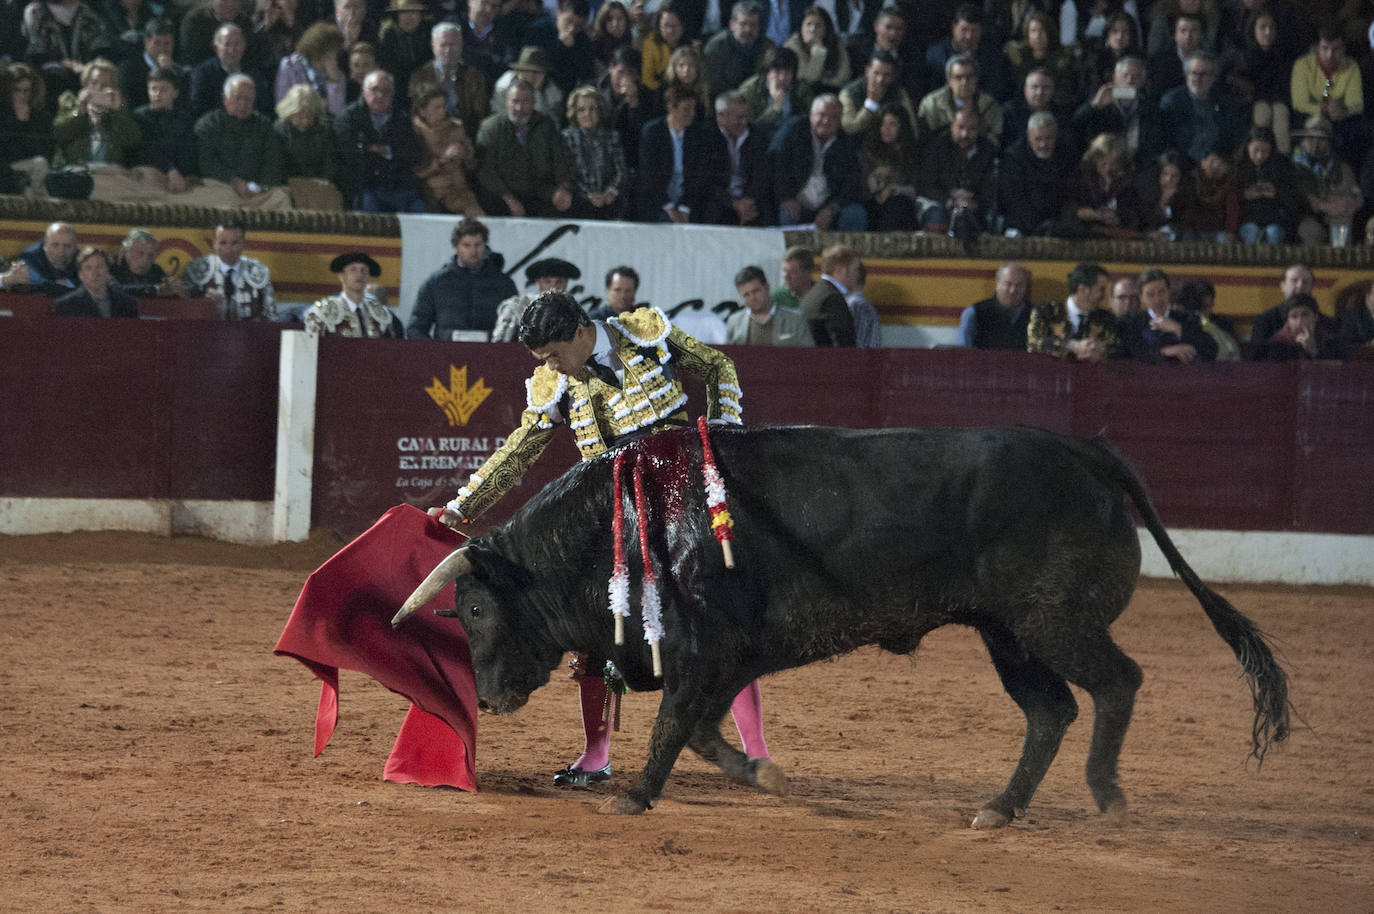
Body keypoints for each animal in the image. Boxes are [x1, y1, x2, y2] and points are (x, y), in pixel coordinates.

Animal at [395, 423, 1286, 824]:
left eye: (473, 607)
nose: (490, 696)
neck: (626, 520)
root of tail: (1083, 449)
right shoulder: (724, 656)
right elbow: (705, 730)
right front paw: (761, 774)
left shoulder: (701, 649)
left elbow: (675, 725)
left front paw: (638, 796)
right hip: (1007, 633)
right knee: (1052, 709)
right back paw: (1000, 807)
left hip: (1053, 623)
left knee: (1116, 683)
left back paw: (1105, 793)